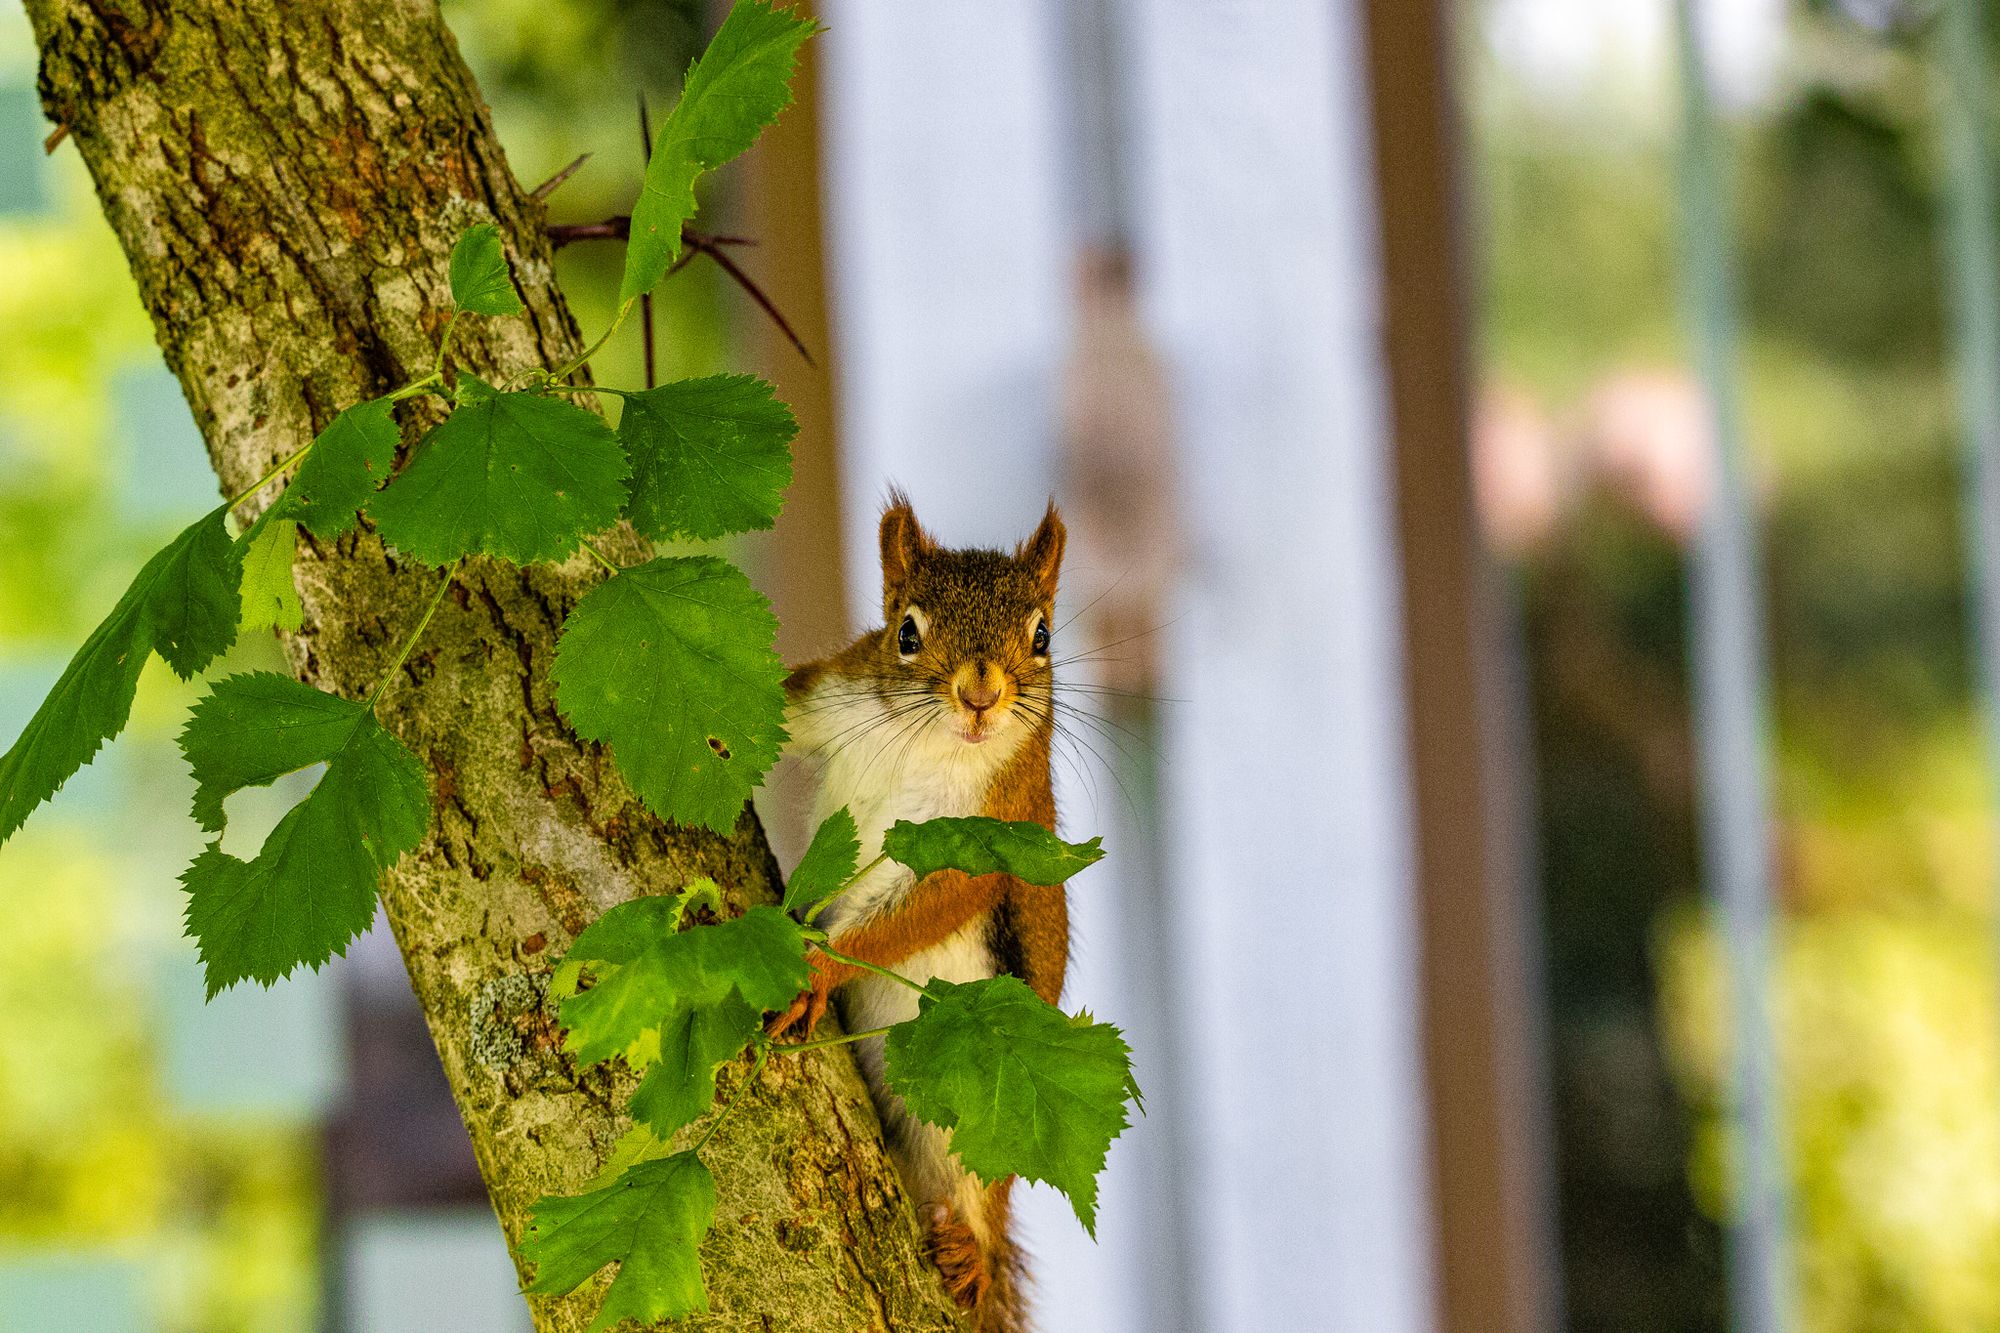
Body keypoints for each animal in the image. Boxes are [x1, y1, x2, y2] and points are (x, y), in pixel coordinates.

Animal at [772, 492, 1072, 1320]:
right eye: (905, 633)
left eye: (1042, 634)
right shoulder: (835, 694)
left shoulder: (994, 834)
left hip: (978, 1122)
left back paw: (970, 1250)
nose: (981, 695)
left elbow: (920, 911)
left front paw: (816, 970)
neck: (926, 740)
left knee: (976, 1196)